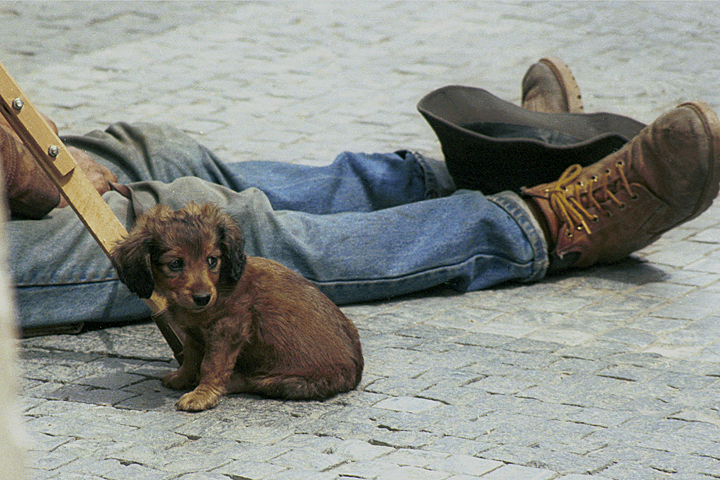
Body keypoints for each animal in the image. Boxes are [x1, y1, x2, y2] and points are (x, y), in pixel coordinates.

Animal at [110, 202, 362, 412]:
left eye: (212, 260)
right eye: (175, 264)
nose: (202, 298)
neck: (220, 285)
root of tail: (355, 373)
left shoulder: (228, 329)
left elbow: (211, 365)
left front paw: (201, 395)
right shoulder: (194, 330)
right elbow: (191, 355)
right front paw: (182, 377)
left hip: (289, 381)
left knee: (253, 382)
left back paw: (230, 382)